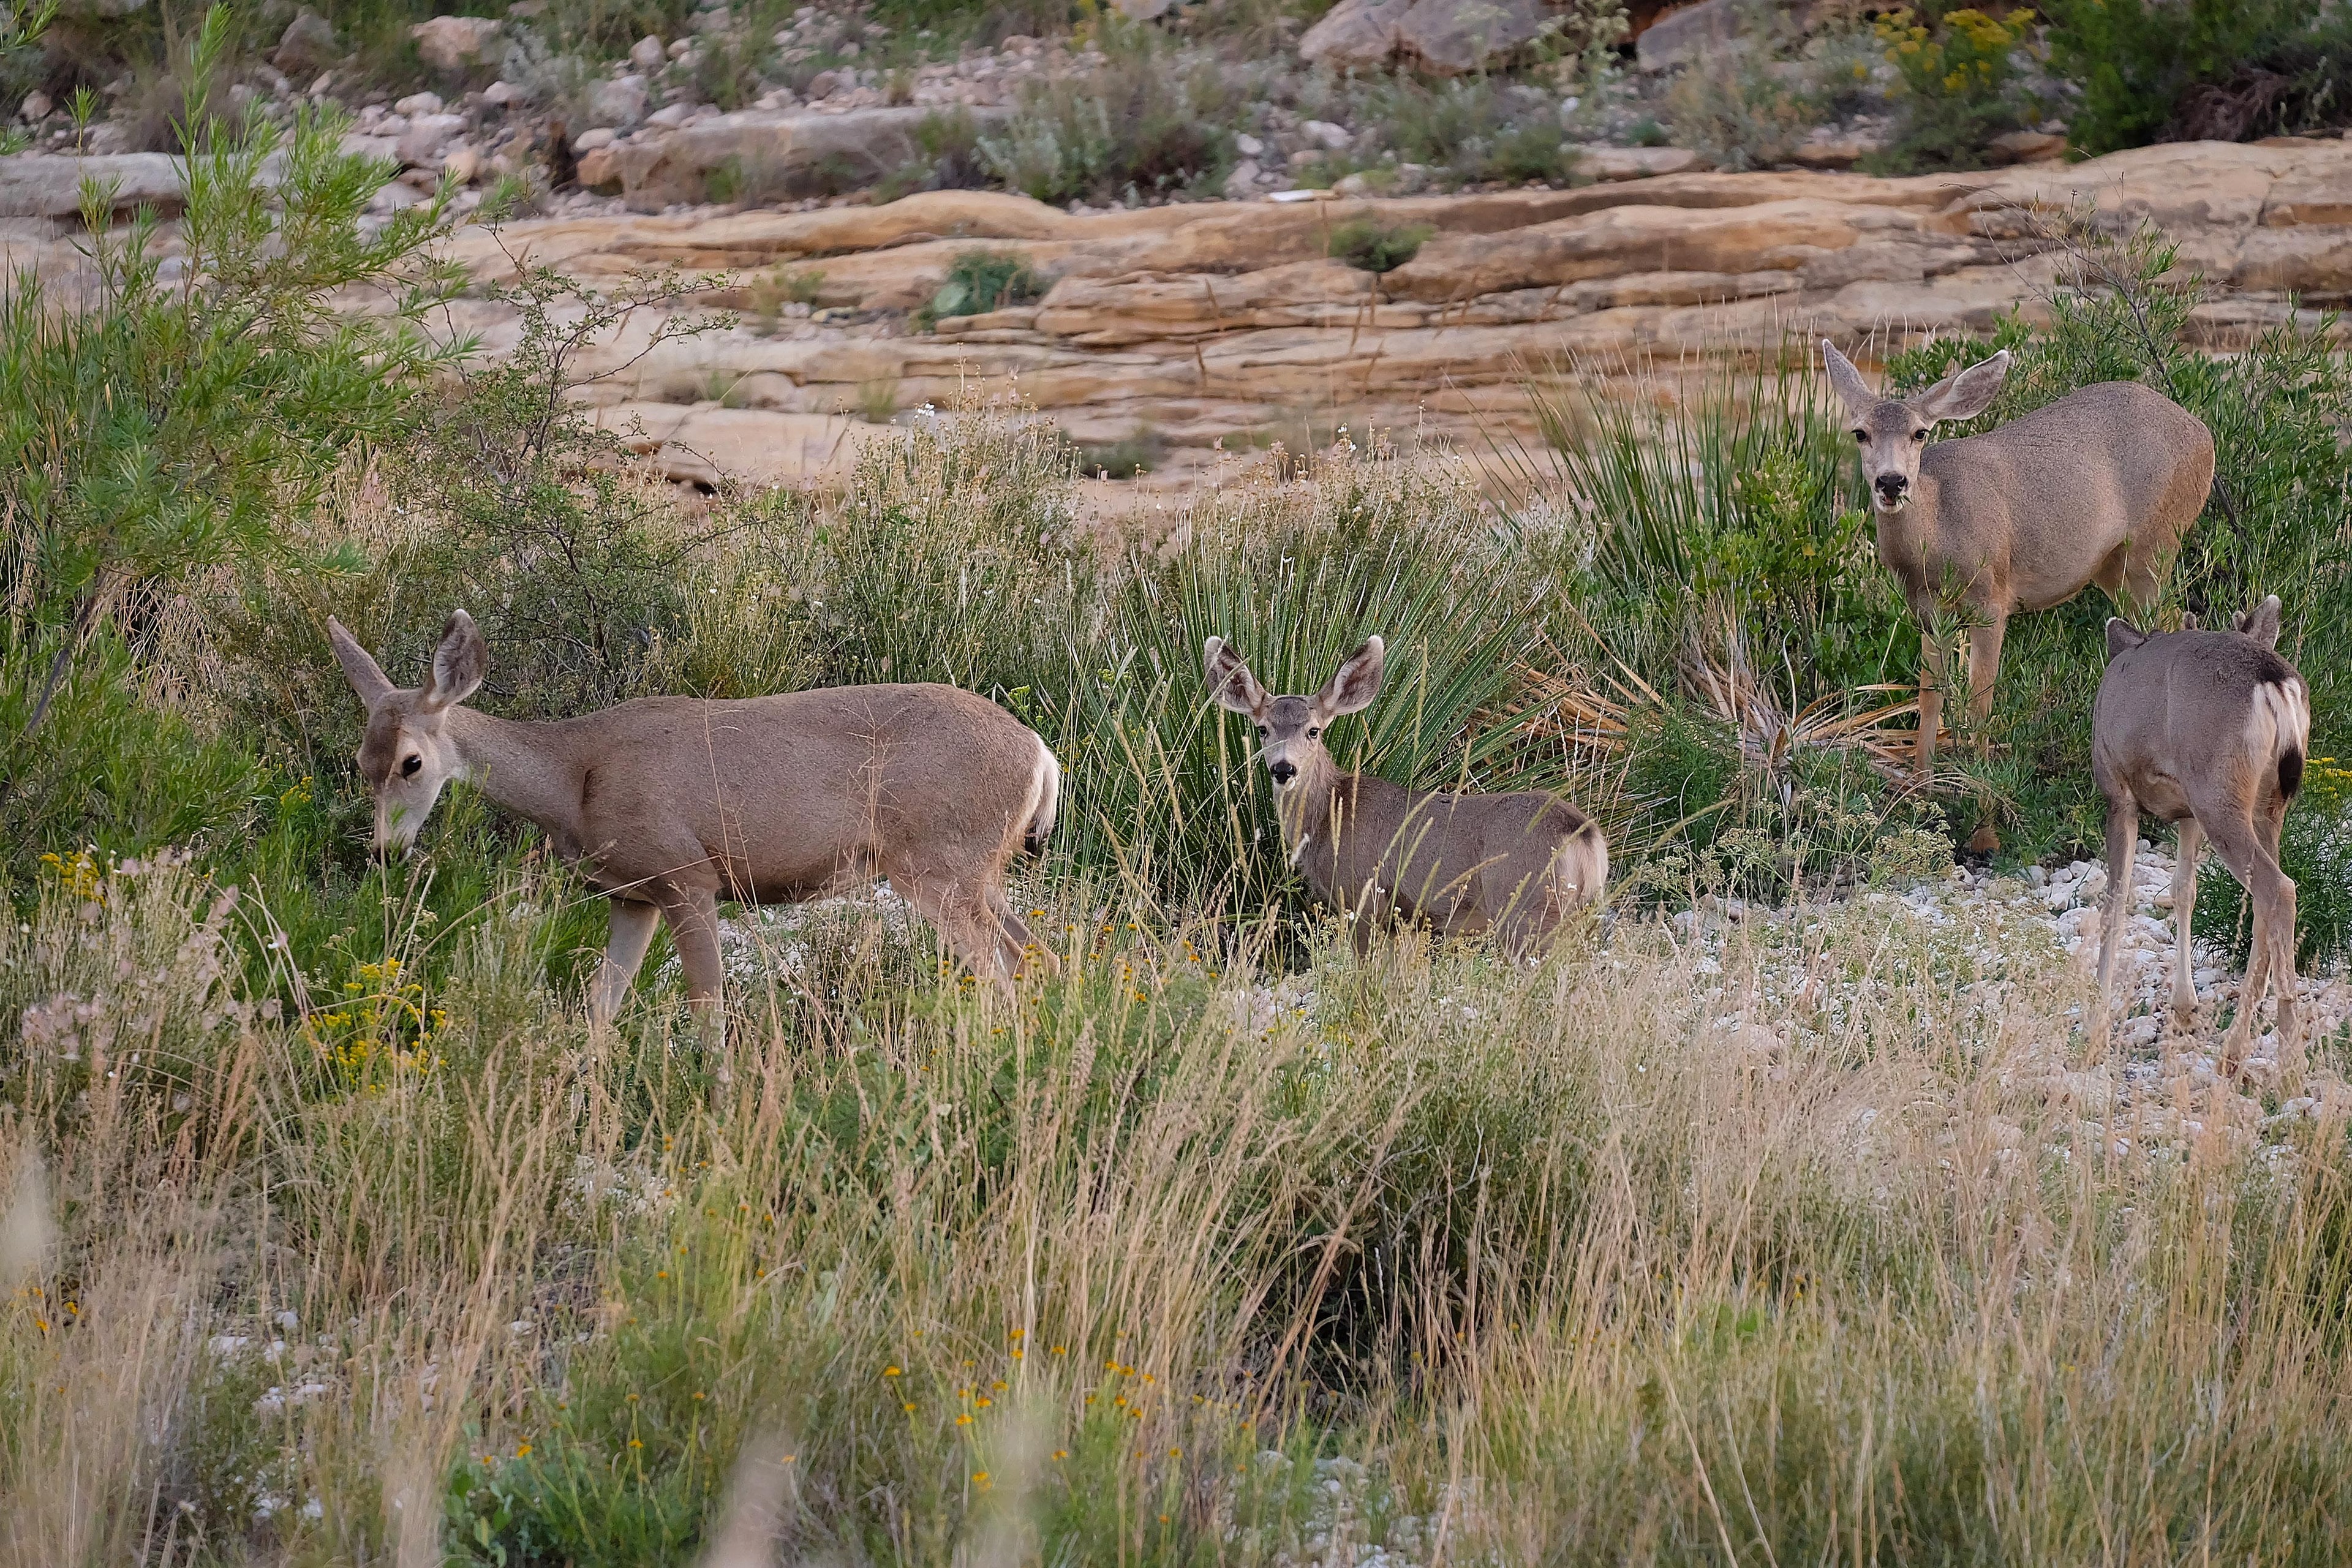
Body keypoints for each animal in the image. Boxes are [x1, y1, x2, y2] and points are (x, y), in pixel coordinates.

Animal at [326, 611, 1063, 1030]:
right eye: (361, 762)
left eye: (412, 763)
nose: (385, 850)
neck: (574, 777)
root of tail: (1042, 754)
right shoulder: (632, 895)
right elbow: (599, 1010)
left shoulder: (687, 875)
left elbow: (707, 1010)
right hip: (978, 873)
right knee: (1040, 957)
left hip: (937, 865)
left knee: (1000, 976)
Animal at [1204, 639, 1608, 959]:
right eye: (1262, 729)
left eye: (1313, 731)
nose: (1283, 769)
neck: (1330, 816)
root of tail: (1583, 833)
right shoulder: (1405, 923)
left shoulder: (1363, 895)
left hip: (1523, 906)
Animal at [1815, 336, 2220, 790]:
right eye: (1860, 433)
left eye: (1920, 433)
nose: (1891, 482)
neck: (1936, 536)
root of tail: (2203, 432)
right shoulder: (1926, 611)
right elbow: (1929, 695)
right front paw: (1921, 784)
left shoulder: (1991, 598)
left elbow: (1980, 699)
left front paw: (1977, 783)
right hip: (2112, 566)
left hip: (2157, 540)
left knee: (2170, 618)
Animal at [2088, 601, 2305, 1081]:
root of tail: (2274, 681)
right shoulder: (2185, 811)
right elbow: (2183, 889)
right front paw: (2185, 1008)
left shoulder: (2118, 793)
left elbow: (2116, 899)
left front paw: (2096, 1031)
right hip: (2263, 805)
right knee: (2263, 901)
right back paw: (2234, 1051)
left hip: (2216, 792)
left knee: (2279, 890)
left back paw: (2286, 1059)